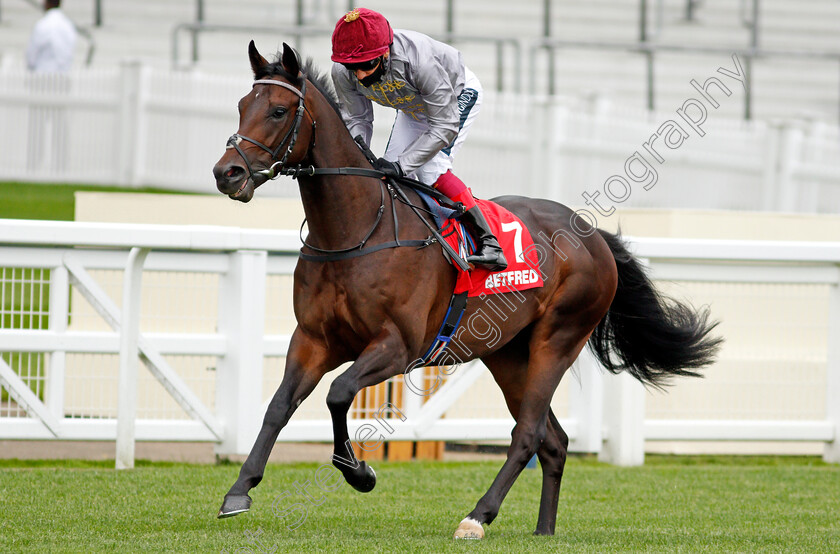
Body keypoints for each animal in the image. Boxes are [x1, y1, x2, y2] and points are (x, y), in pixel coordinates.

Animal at [213, 43, 720, 540]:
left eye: (279, 110)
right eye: (241, 106)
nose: (227, 173)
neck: (356, 233)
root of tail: (594, 235)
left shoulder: (397, 346)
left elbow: (337, 393)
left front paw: (360, 474)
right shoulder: (313, 339)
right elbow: (278, 406)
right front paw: (239, 490)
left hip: (557, 340)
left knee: (528, 434)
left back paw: (478, 516)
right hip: (506, 353)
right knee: (554, 441)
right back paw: (543, 530)